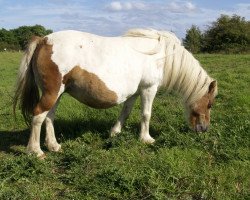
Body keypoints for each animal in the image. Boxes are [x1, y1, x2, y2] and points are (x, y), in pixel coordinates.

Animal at [13, 28, 217, 157]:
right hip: (52, 93)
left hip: (58, 94)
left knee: (49, 117)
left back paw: (53, 146)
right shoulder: (148, 89)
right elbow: (146, 115)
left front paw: (115, 132)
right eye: (209, 104)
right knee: (38, 116)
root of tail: (43, 40)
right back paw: (36, 151)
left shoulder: (134, 93)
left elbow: (125, 113)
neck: (161, 56)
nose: (204, 129)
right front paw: (146, 139)